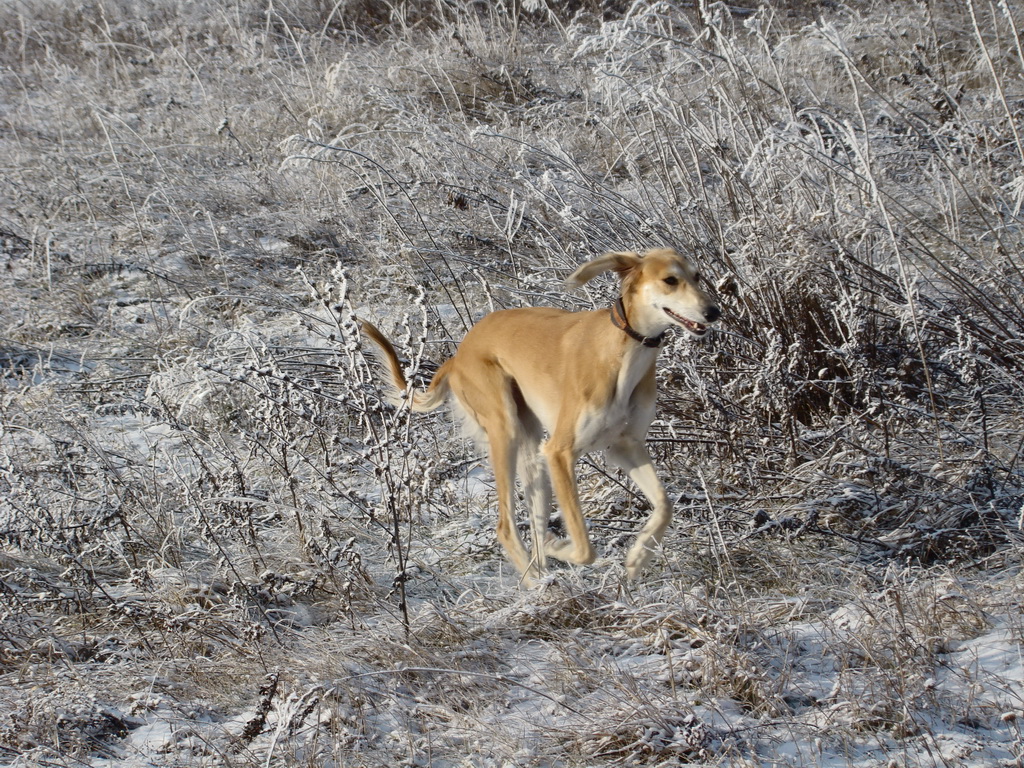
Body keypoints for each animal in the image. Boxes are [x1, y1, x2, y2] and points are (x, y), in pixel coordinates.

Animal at [360, 249, 720, 581]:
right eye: (670, 280)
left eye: (697, 276)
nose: (714, 311)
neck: (622, 352)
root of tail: (458, 354)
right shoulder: (560, 452)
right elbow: (584, 546)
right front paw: (559, 546)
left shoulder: (625, 446)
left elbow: (665, 505)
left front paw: (639, 556)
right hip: (505, 430)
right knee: (506, 526)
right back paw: (536, 584)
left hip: (533, 456)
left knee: (532, 523)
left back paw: (546, 577)